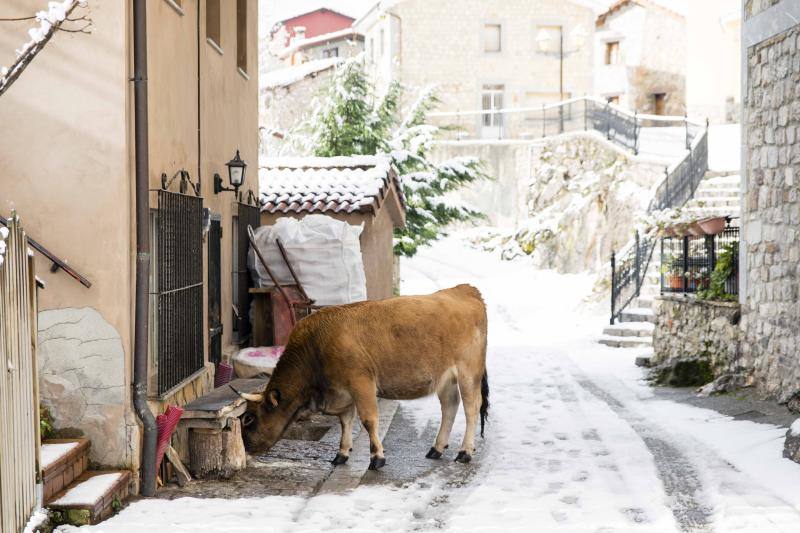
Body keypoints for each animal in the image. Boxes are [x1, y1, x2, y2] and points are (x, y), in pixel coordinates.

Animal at [236, 284, 488, 468]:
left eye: (249, 419)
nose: (244, 449)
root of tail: (465, 289)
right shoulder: (341, 390)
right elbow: (345, 421)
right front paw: (342, 453)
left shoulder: (361, 383)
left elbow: (368, 420)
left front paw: (377, 458)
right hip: (444, 379)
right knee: (450, 406)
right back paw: (436, 448)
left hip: (468, 373)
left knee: (472, 408)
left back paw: (465, 452)